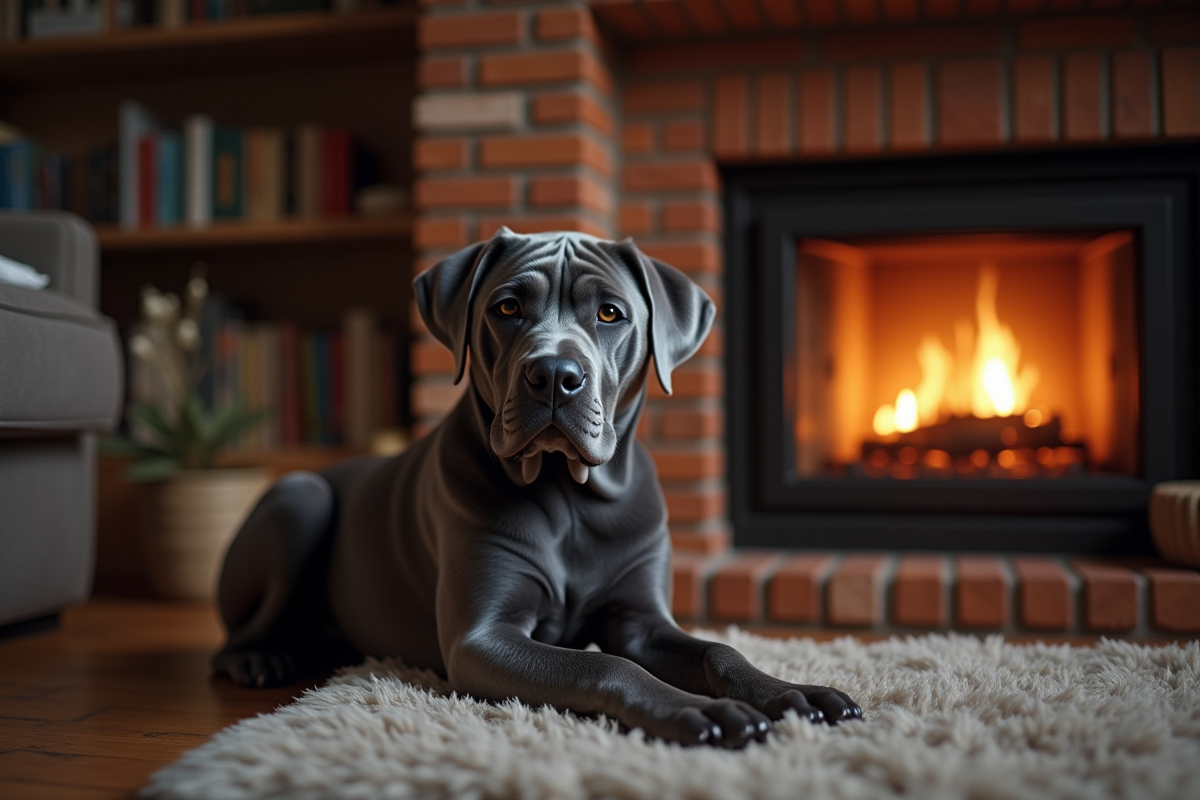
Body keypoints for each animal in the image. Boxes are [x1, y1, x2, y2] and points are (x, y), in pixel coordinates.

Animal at [211, 227, 859, 748]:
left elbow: (719, 650)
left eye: (610, 314)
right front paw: (702, 711)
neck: (568, 495)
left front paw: (793, 693)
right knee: (236, 634)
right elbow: (605, 667)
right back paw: (261, 657)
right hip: (300, 499)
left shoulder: (642, 622)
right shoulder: (481, 640)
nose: (554, 375)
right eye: (507, 306)